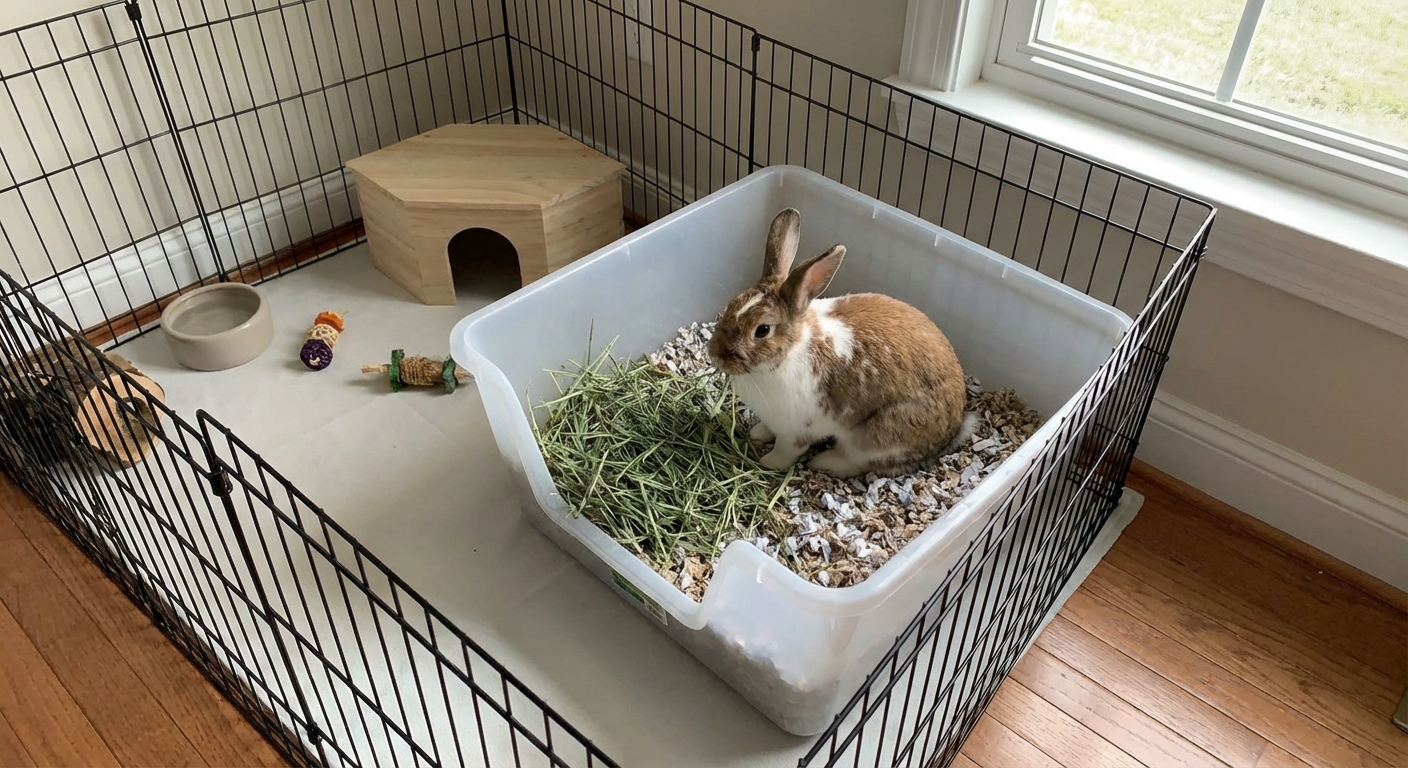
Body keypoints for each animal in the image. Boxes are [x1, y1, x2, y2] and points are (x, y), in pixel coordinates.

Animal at [707, 207, 975, 479]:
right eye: (732, 303)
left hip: (875, 436)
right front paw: (757, 434)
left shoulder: (796, 431)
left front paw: (769, 462)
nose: (714, 354)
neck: (790, 350)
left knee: (861, 463)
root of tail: (953, 431)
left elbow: (787, 450)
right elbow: (767, 429)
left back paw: (824, 462)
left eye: (762, 330)